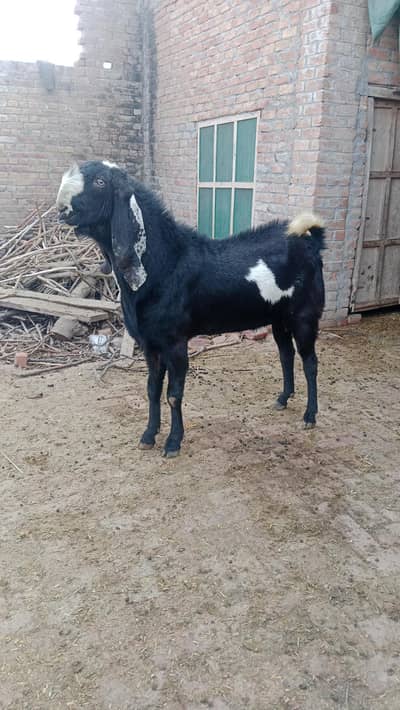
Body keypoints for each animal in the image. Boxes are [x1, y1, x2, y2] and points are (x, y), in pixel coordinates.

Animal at [57, 161, 325, 458]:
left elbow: (173, 394)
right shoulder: (150, 343)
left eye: (101, 182)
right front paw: (148, 435)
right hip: (279, 317)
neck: (167, 262)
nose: (61, 209)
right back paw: (283, 398)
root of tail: (310, 242)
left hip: (305, 315)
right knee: (286, 355)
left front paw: (173, 442)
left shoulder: (175, 342)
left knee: (310, 362)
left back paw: (310, 415)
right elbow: (152, 389)